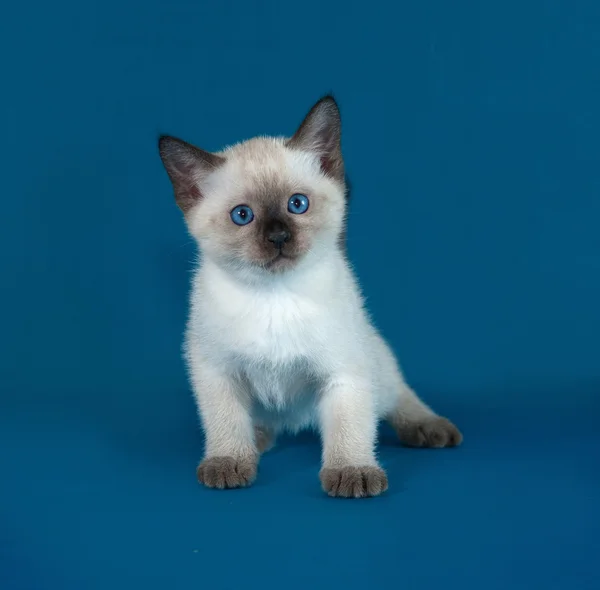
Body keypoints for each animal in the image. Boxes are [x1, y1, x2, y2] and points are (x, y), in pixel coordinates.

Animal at [157, 96, 462, 500]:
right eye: (243, 215)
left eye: (297, 204)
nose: (278, 237)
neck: (274, 295)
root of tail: (295, 422)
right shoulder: (216, 370)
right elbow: (226, 421)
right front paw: (229, 461)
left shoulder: (344, 373)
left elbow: (349, 428)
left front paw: (351, 471)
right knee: (257, 423)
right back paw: (256, 441)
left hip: (375, 369)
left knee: (396, 396)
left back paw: (429, 428)